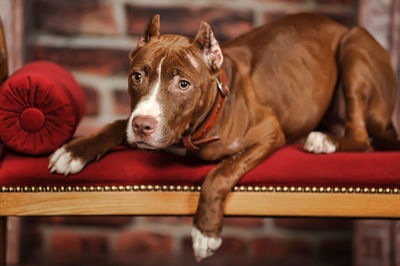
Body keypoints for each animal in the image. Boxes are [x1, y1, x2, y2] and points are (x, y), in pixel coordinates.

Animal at [47, 13, 396, 260]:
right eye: (136, 77)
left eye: (183, 84)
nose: (143, 125)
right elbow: (117, 123)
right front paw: (75, 150)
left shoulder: (269, 133)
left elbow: (219, 173)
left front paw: (205, 233)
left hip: (353, 47)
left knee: (362, 137)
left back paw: (324, 140)